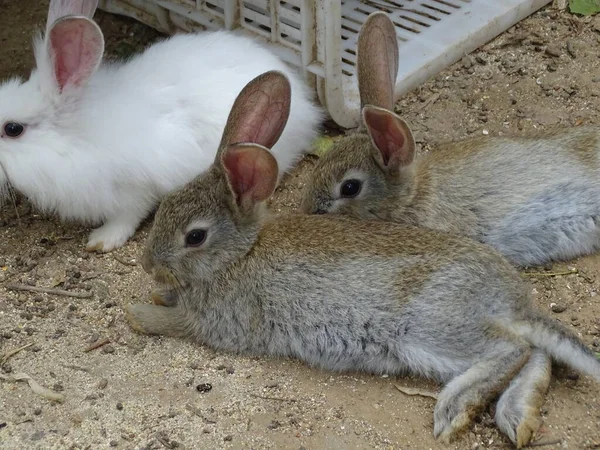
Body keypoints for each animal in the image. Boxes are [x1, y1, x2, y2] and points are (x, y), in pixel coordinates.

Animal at [0, 0, 324, 251]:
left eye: (13, 129)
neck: (74, 138)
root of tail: (301, 97)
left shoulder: (133, 190)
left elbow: (127, 216)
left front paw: (102, 240)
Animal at [125, 67, 600, 446]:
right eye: (165, 207)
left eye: (195, 237)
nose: (148, 265)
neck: (239, 254)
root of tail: (513, 303)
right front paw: (158, 295)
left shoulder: (221, 322)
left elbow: (177, 323)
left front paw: (138, 315)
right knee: (535, 353)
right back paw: (517, 416)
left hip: (429, 330)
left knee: (511, 349)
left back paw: (454, 410)